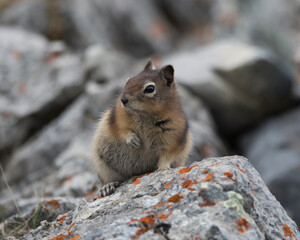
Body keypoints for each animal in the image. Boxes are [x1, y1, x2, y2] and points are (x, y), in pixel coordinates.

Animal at [92, 60, 193, 197]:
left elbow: (168, 154)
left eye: (150, 88)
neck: (144, 114)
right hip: (103, 165)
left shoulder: (173, 137)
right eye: (128, 81)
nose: (123, 99)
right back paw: (107, 186)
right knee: (108, 179)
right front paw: (133, 140)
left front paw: (162, 168)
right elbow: (121, 130)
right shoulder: (117, 117)